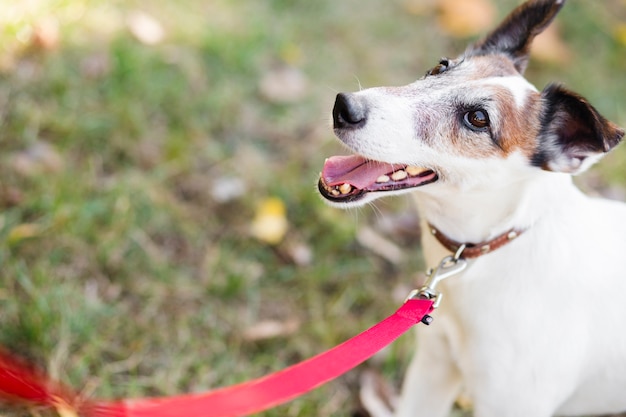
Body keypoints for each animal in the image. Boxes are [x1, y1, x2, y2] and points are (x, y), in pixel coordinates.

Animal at [316, 0, 624, 416]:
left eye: (477, 119)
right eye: (439, 67)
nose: (344, 106)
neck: (496, 247)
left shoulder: (511, 403)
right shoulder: (432, 368)